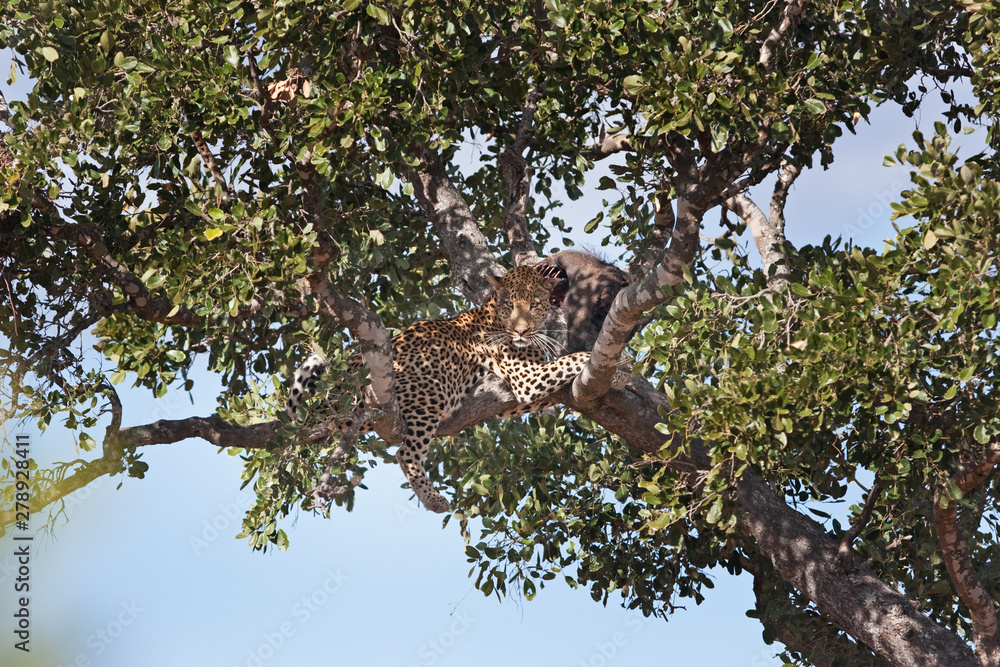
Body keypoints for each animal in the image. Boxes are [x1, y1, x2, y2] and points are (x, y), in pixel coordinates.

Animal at [286, 264, 619, 514]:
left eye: (535, 305)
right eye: (510, 305)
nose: (521, 331)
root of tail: (337, 391)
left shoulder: (514, 397)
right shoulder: (525, 378)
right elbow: (570, 359)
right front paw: (616, 370)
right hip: (429, 389)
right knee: (406, 453)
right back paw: (434, 500)